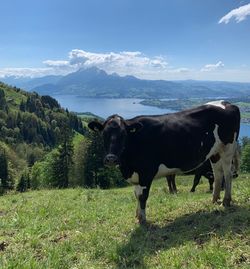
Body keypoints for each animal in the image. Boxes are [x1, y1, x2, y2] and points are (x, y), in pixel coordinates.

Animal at [88, 99, 240, 223]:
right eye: (104, 134)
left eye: (123, 134)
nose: (111, 159)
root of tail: (227, 103)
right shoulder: (137, 175)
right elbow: (136, 195)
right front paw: (137, 216)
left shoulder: (146, 173)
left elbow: (142, 196)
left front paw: (142, 220)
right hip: (215, 152)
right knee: (218, 174)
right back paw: (214, 199)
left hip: (228, 147)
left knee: (227, 174)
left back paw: (226, 201)